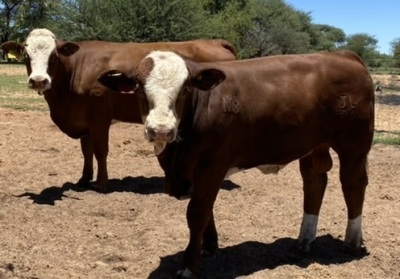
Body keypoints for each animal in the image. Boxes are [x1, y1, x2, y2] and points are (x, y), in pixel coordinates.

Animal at [14, 28, 234, 194]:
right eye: (26, 55)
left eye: (54, 56)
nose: (39, 80)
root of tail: (217, 42)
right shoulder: (84, 120)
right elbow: (86, 151)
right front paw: (84, 179)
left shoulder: (100, 118)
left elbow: (100, 151)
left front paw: (102, 184)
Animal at [99, 50, 376, 278]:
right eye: (138, 87)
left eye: (185, 88)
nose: (161, 130)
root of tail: (344, 55)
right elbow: (206, 208)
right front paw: (209, 247)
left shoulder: (212, 163)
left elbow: (197, 211)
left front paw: (190, 264)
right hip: (313, 145)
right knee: (314, 181)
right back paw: (304, 240)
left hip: (354, 144)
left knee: (353, 185)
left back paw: (352, 242)